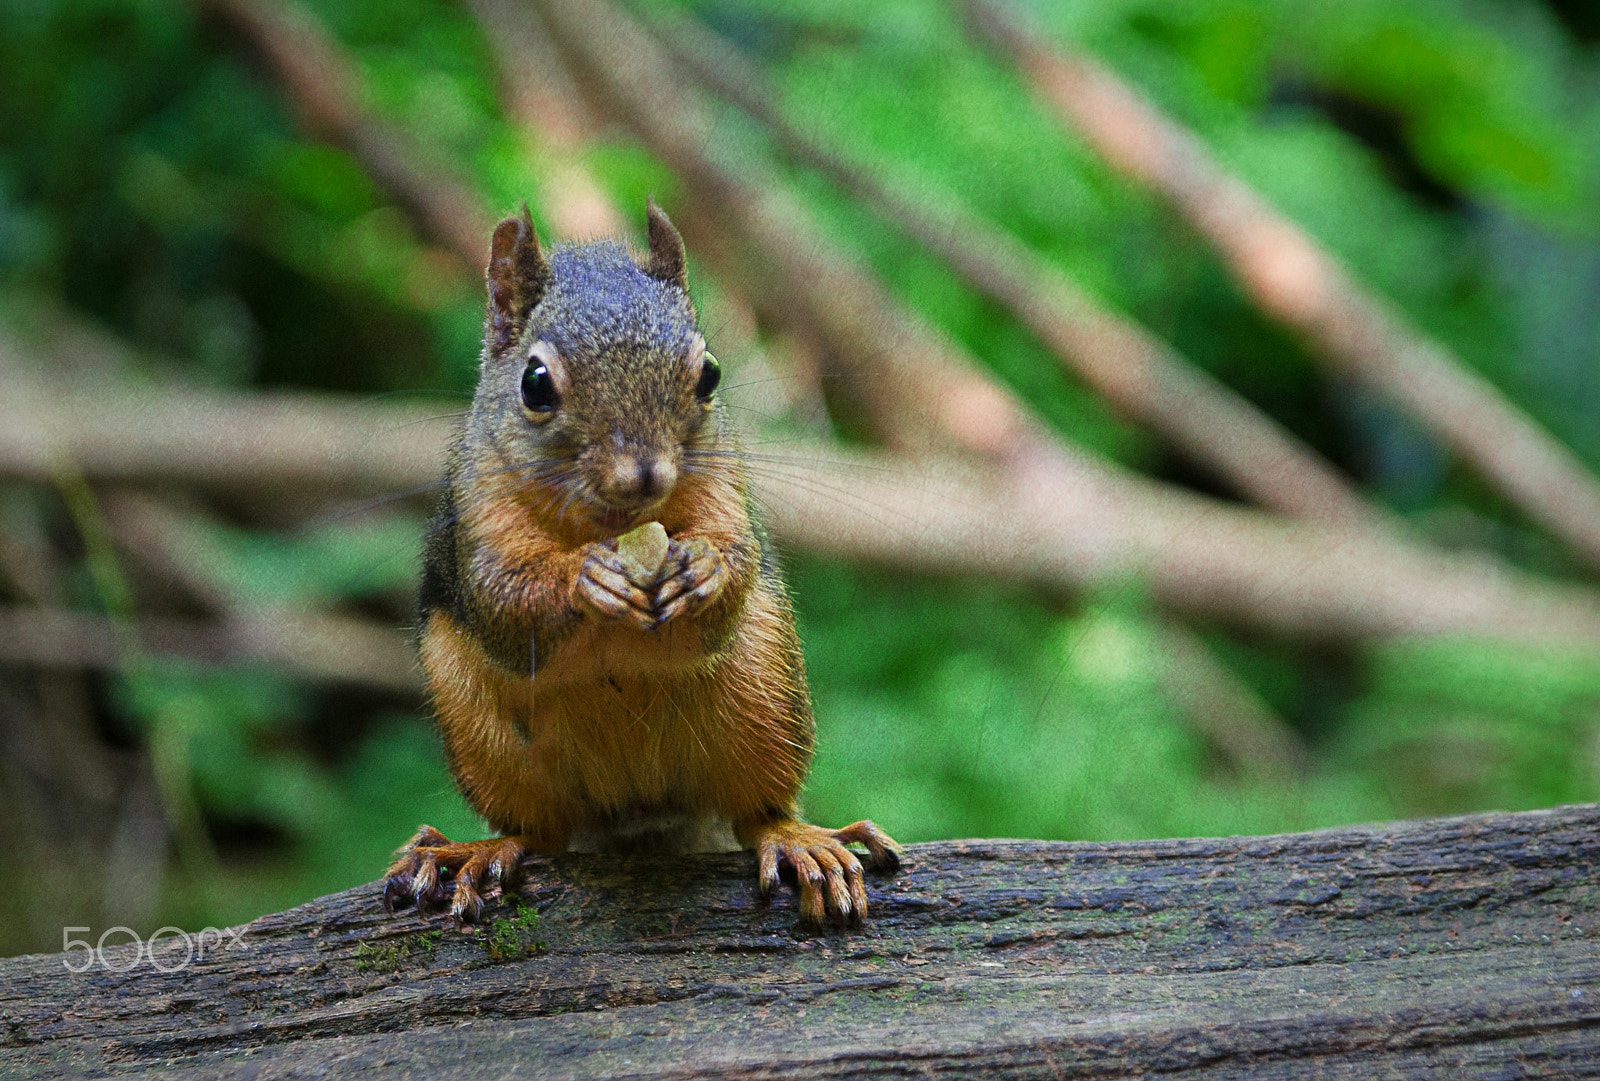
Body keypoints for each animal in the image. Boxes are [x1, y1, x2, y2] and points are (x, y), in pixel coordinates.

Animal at [379, 203, 896, 927]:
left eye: (709, 374)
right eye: (534, 383)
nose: (644, 474)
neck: (610, 526)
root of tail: (639, 817)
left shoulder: (724, 482)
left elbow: (736, 564)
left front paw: (704, 567)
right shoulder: (476, 512)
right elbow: (502, 601)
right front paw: (584, 579)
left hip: (765, 696)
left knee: (758, 813)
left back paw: (799, 841)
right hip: (481, 728)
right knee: (536, 831)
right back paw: (477, 852)